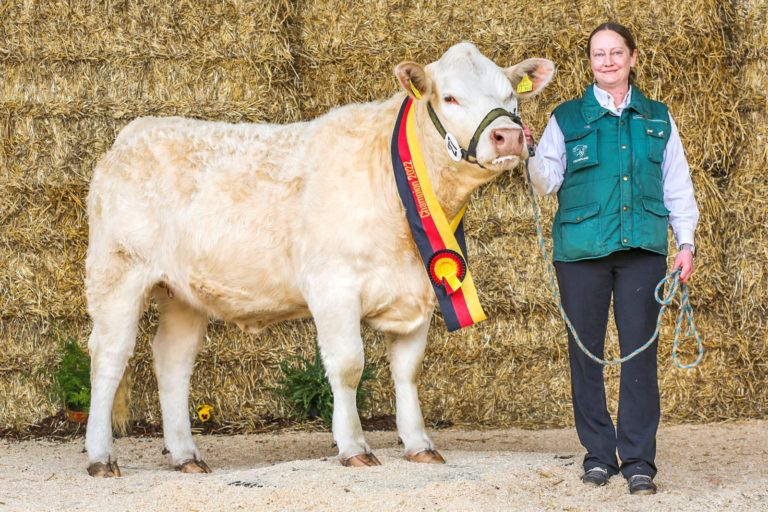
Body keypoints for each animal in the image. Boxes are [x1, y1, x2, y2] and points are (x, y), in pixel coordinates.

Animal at [85, 43, 552, 476]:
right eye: (451, 97)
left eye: (510, 96)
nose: (509, 136)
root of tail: (135, 131)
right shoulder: (333, 286)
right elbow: (348, 367)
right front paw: (354, 447)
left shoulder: (419, 292)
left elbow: (408, 372)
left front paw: (419, 444)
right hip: (117, 274)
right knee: (109, 357)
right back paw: (101, 456)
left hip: (182, 293)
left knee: (172, 362)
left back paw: (186, 456)